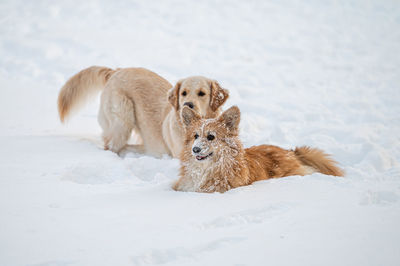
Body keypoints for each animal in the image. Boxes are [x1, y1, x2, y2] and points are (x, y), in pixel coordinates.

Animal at [57, 66, 230, 158]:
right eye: (184, 93)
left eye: (202, 93)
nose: (187, 104)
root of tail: (115, 71)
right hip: (123, 116)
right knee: (111, 145)